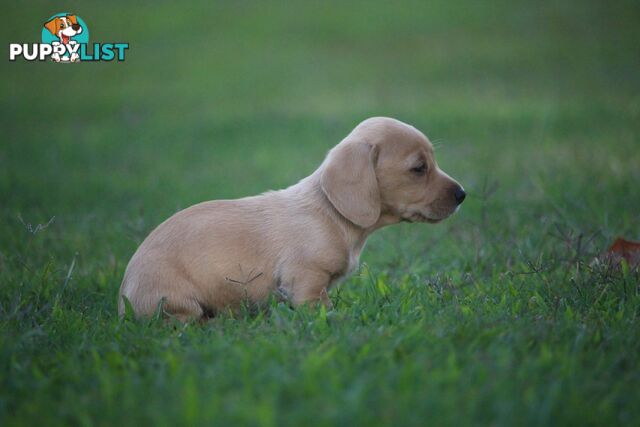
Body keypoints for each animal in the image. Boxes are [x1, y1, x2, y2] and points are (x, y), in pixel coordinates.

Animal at [119, 117, 464, 320]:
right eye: (419, 168)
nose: (463, 194)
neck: (330, 212)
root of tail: (123, 301)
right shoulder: (306, 281)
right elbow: (322, 309)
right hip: (180, 303)